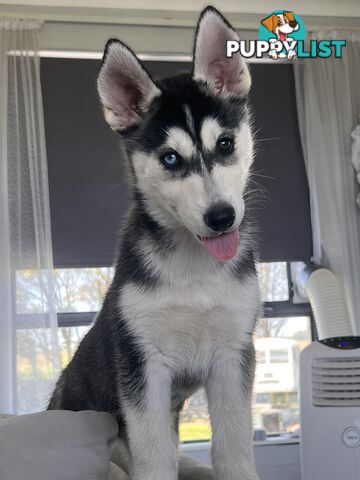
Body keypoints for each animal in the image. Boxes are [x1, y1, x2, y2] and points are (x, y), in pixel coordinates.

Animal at [49, 6, 260, 480]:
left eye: (225, 144)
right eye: (170, 158)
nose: (221, 217)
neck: (194, 269)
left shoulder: (232, 358)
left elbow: (234, 449)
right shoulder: (143, 368)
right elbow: (156, 456)